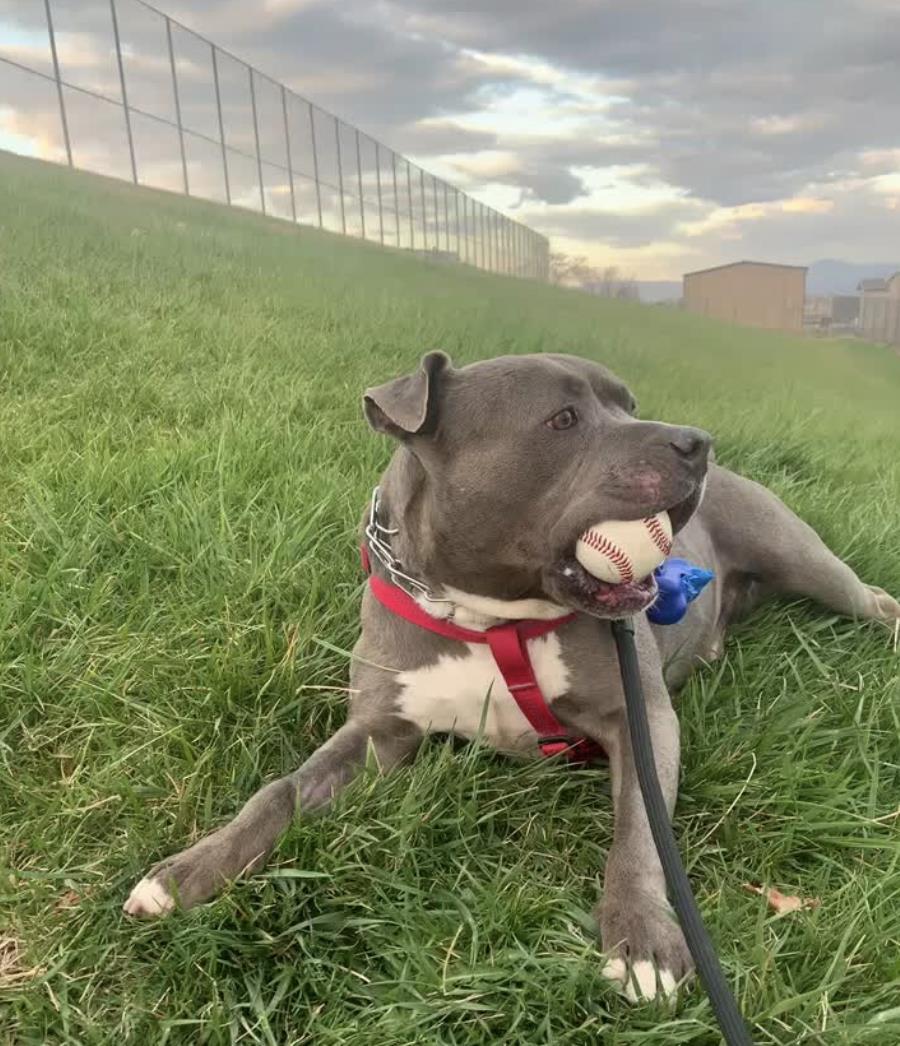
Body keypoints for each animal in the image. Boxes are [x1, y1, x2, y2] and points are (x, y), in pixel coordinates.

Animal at [122, 353, 895, 1004]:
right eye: (563, 420)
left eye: (628, 404)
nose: (697, 443)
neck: (487, 616)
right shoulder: (380, 731)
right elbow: (278, 792)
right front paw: (187, 873)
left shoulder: (641, 719)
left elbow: (638, 832)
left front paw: (642, 939)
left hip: (808, 563)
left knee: (875, 601)